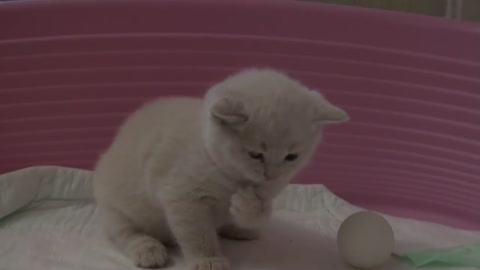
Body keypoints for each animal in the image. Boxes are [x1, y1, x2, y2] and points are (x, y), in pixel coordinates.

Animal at [93, 68, 348, 270]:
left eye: (291, 157)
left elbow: (260, 209)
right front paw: (208, 259)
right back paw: (148, 250)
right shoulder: (184, 198)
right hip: (118, 211)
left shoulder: (268, 191)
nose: (271, 175)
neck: (231, 175)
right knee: (124, 233)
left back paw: (239, 230)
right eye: (256, 154)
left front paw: (248, 207)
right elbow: (198, 234)